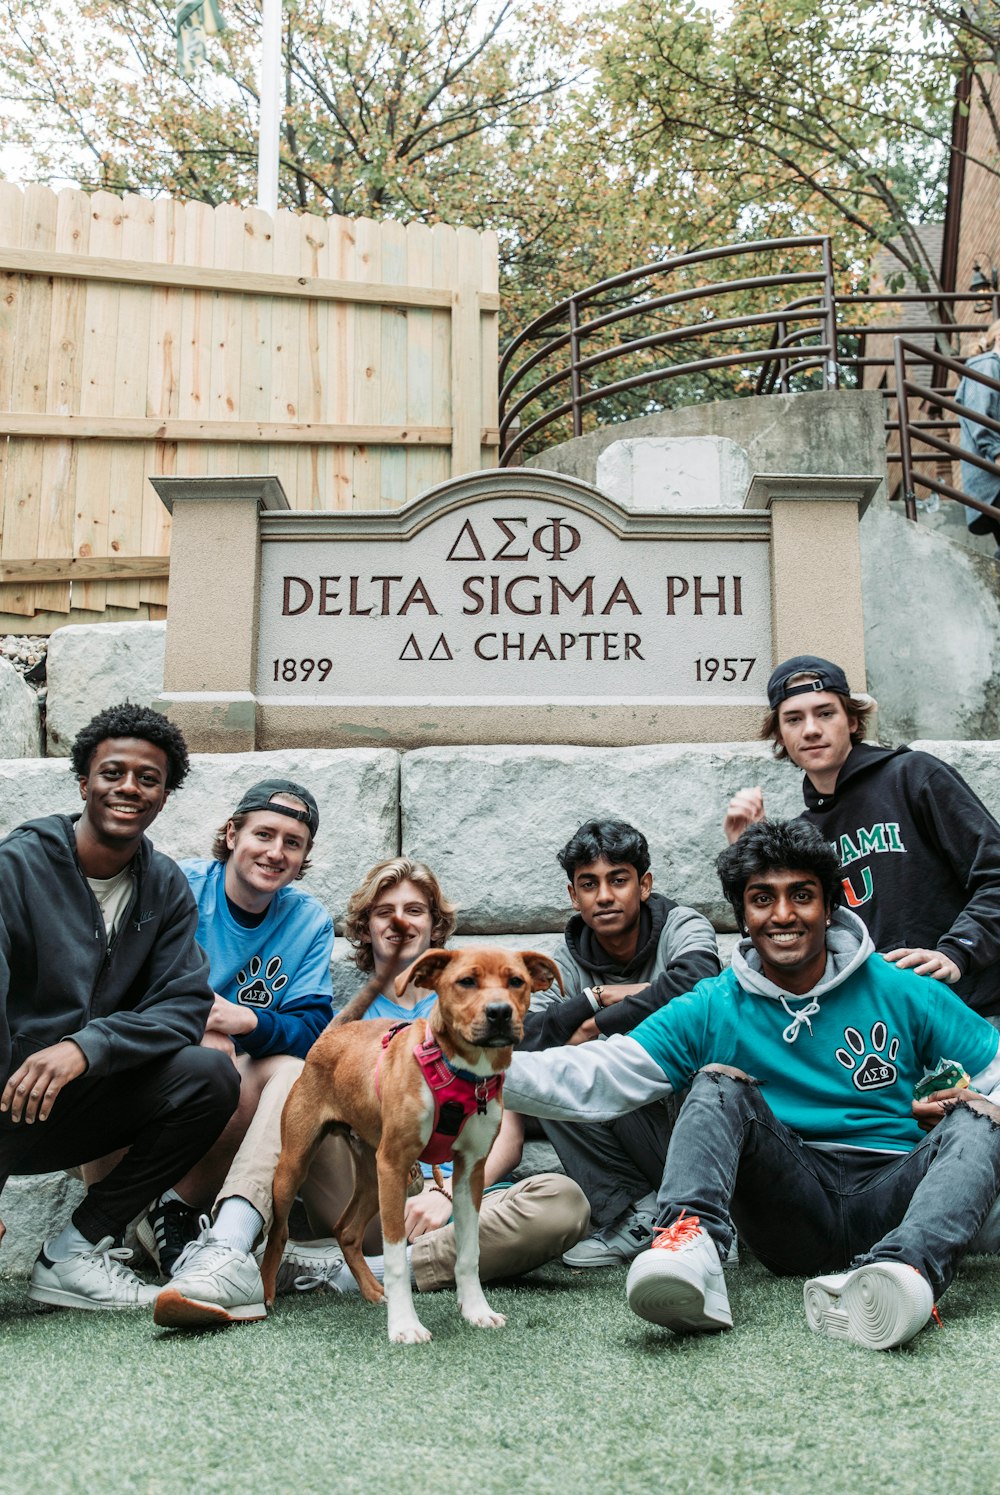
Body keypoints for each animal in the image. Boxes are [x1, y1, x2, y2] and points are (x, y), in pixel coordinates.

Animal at [260, 944, 562, 1345]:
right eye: (466, 981)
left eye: (516, 982)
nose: (499, 1012)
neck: (463, 1072)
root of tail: (333, 1033)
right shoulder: (396, 1161)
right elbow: (394, 1256)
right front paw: (404, 1326)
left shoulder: (471, 1171)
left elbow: (470, 1251)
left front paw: (476, 1311)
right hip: (299, 1164)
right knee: (279, 1232)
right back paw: (267, 1294)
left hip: (375, 1176)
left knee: (346, 1231)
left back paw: (372, 1291)